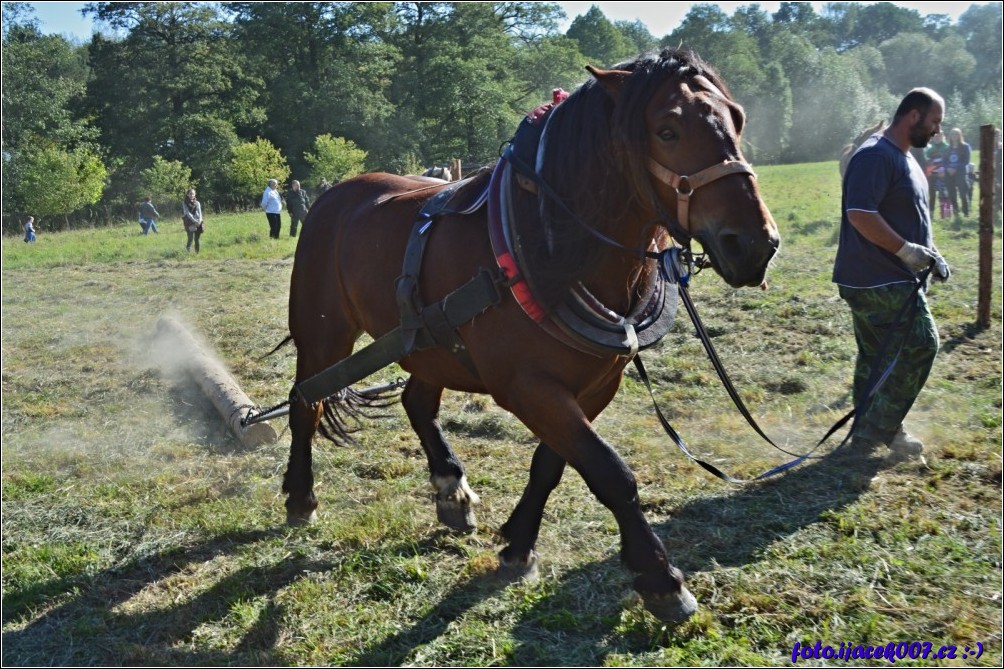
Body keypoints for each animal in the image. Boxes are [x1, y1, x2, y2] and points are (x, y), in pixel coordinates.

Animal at [287, 46, 779, 618]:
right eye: (667, 129)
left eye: (737, 119)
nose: (754, 244)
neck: (546, 244)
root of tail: (332, 196)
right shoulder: (527, 386)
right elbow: (610, 472)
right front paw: (661, 577)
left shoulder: (595, 384)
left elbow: (552, 464)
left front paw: (518, 544)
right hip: (322, 333)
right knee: (305, 401)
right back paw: (299, 496)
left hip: (430, 340)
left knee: (417, 402)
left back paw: (451, 489)